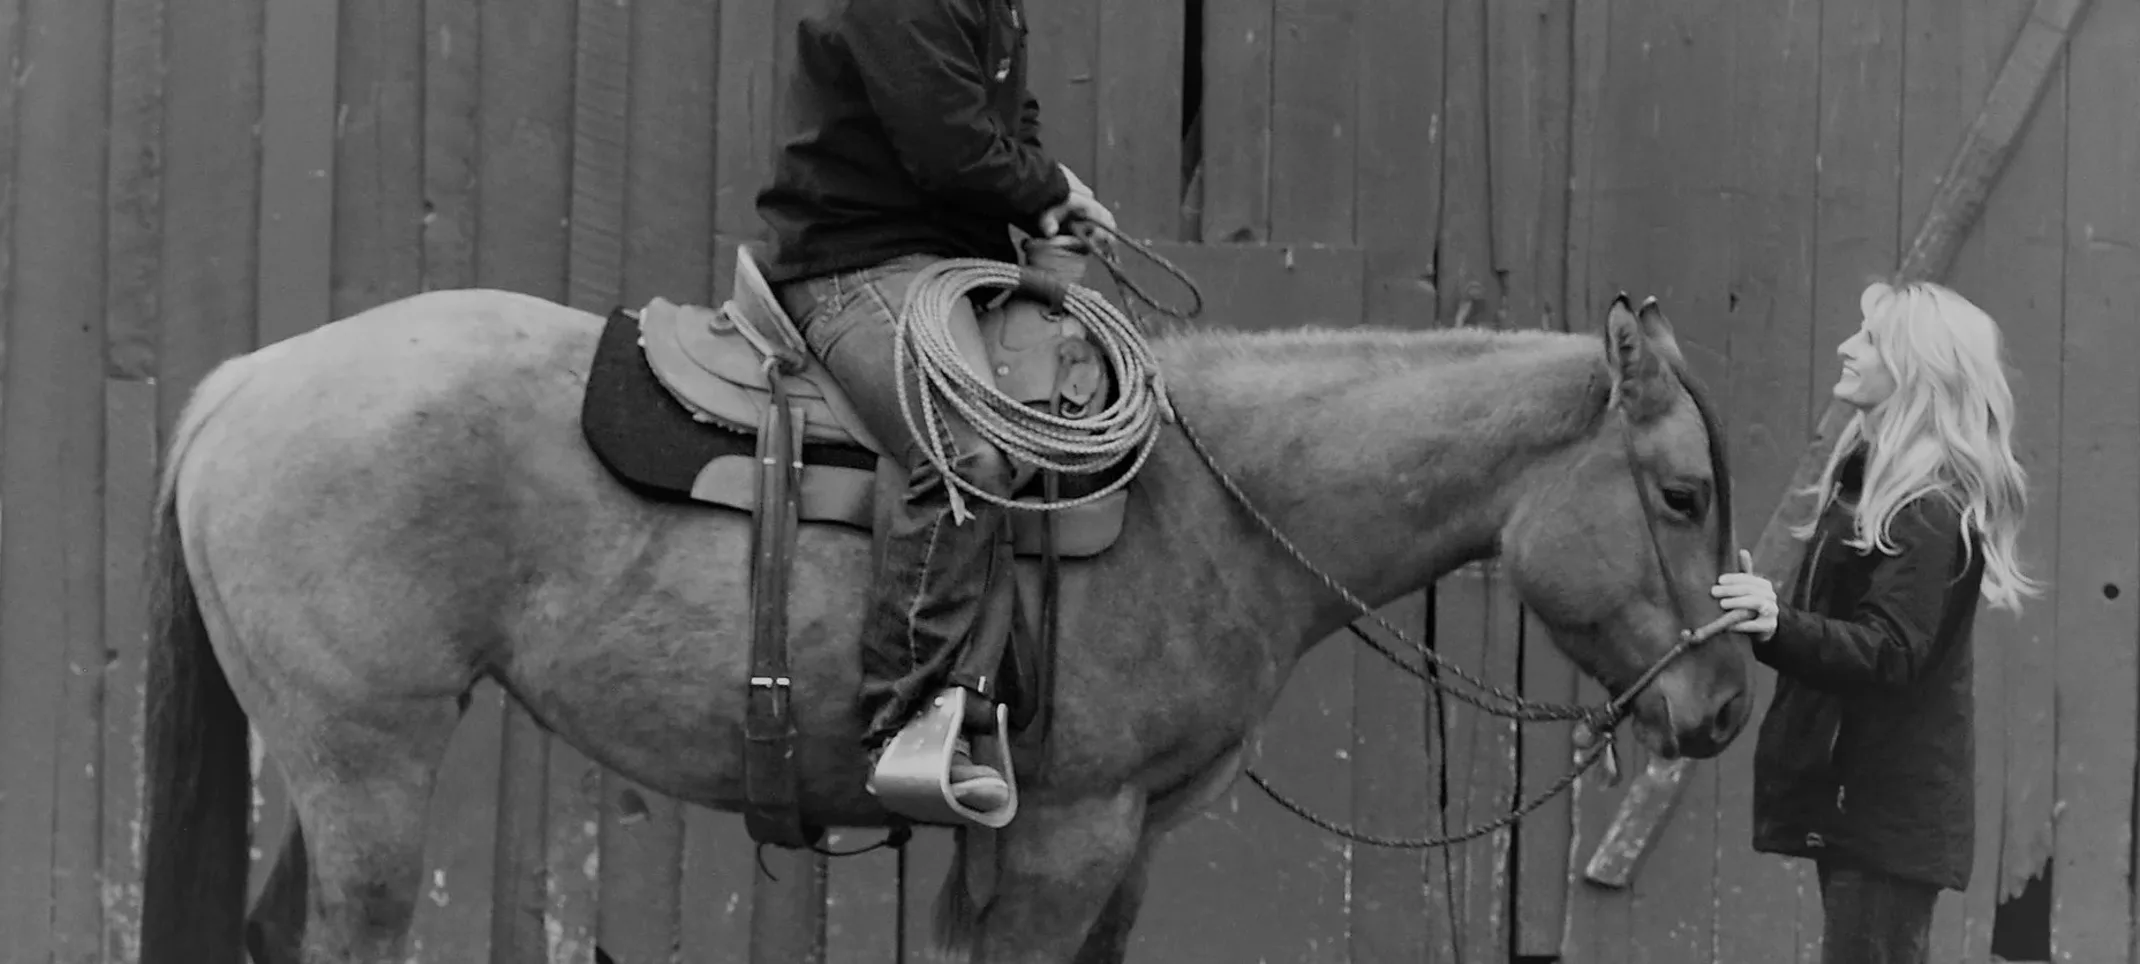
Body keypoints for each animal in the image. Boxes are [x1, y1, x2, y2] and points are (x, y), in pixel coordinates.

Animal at [137, 284, 1752, 964]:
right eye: (1679, 495)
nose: (1727, 706)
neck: (1214, 502)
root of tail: (242, 383)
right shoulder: (1067, 837)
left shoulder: (1097, 850)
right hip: (367, 760)